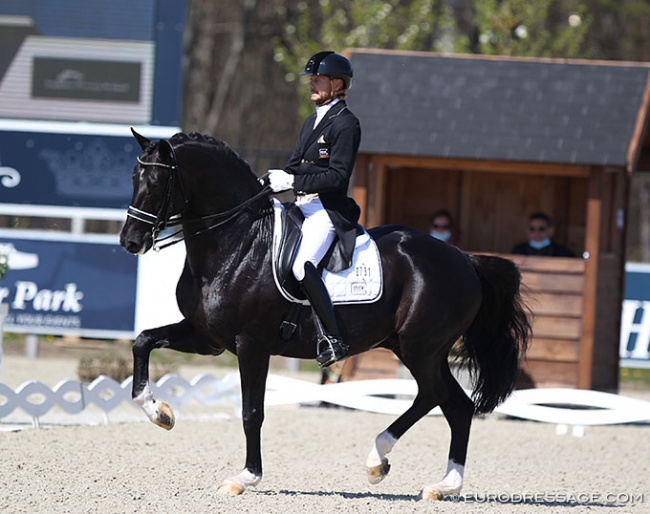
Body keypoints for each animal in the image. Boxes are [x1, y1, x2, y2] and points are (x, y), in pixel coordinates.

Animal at [119, 130, 528, 498]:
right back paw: (424, 478)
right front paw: (160, 413)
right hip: (414, 347)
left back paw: (403, 468)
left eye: (157, 182)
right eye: (134, 177)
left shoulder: (251, 344)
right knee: (450, 403)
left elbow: (252, 412)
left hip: (421, 347)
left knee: (440, 399)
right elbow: (143, 342)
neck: (238, 243)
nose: (130, 241)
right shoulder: (207, 338)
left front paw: (246, 478)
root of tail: (464, 259)